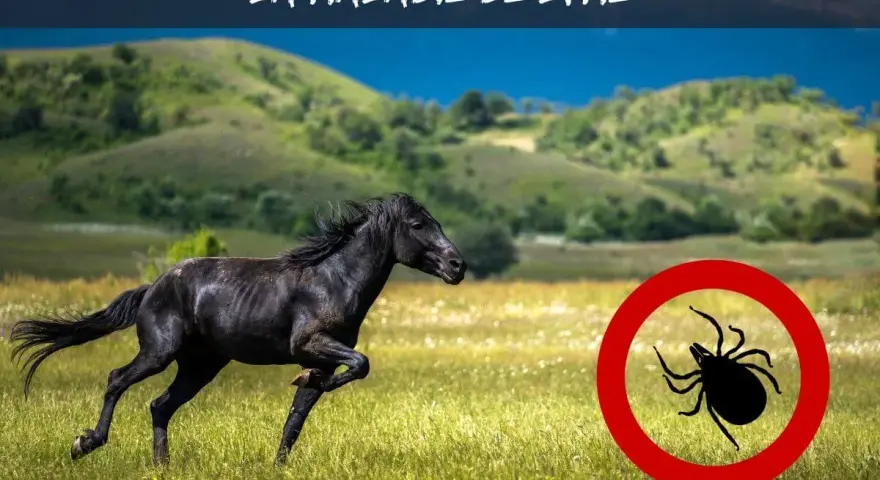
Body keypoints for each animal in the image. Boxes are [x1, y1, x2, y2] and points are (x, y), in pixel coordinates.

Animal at [9, 192, 467, 466]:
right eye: (418, 225)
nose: (457, 266)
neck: (333, 280)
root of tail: (153, 287)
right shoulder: (312, 343)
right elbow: (361, 364)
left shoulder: (321, 357)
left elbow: (299, 414)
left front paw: (280, 462)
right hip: (159, 352)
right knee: (117, 380)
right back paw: (85, 443)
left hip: (200, 366)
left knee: (160, 405)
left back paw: (162, 466)